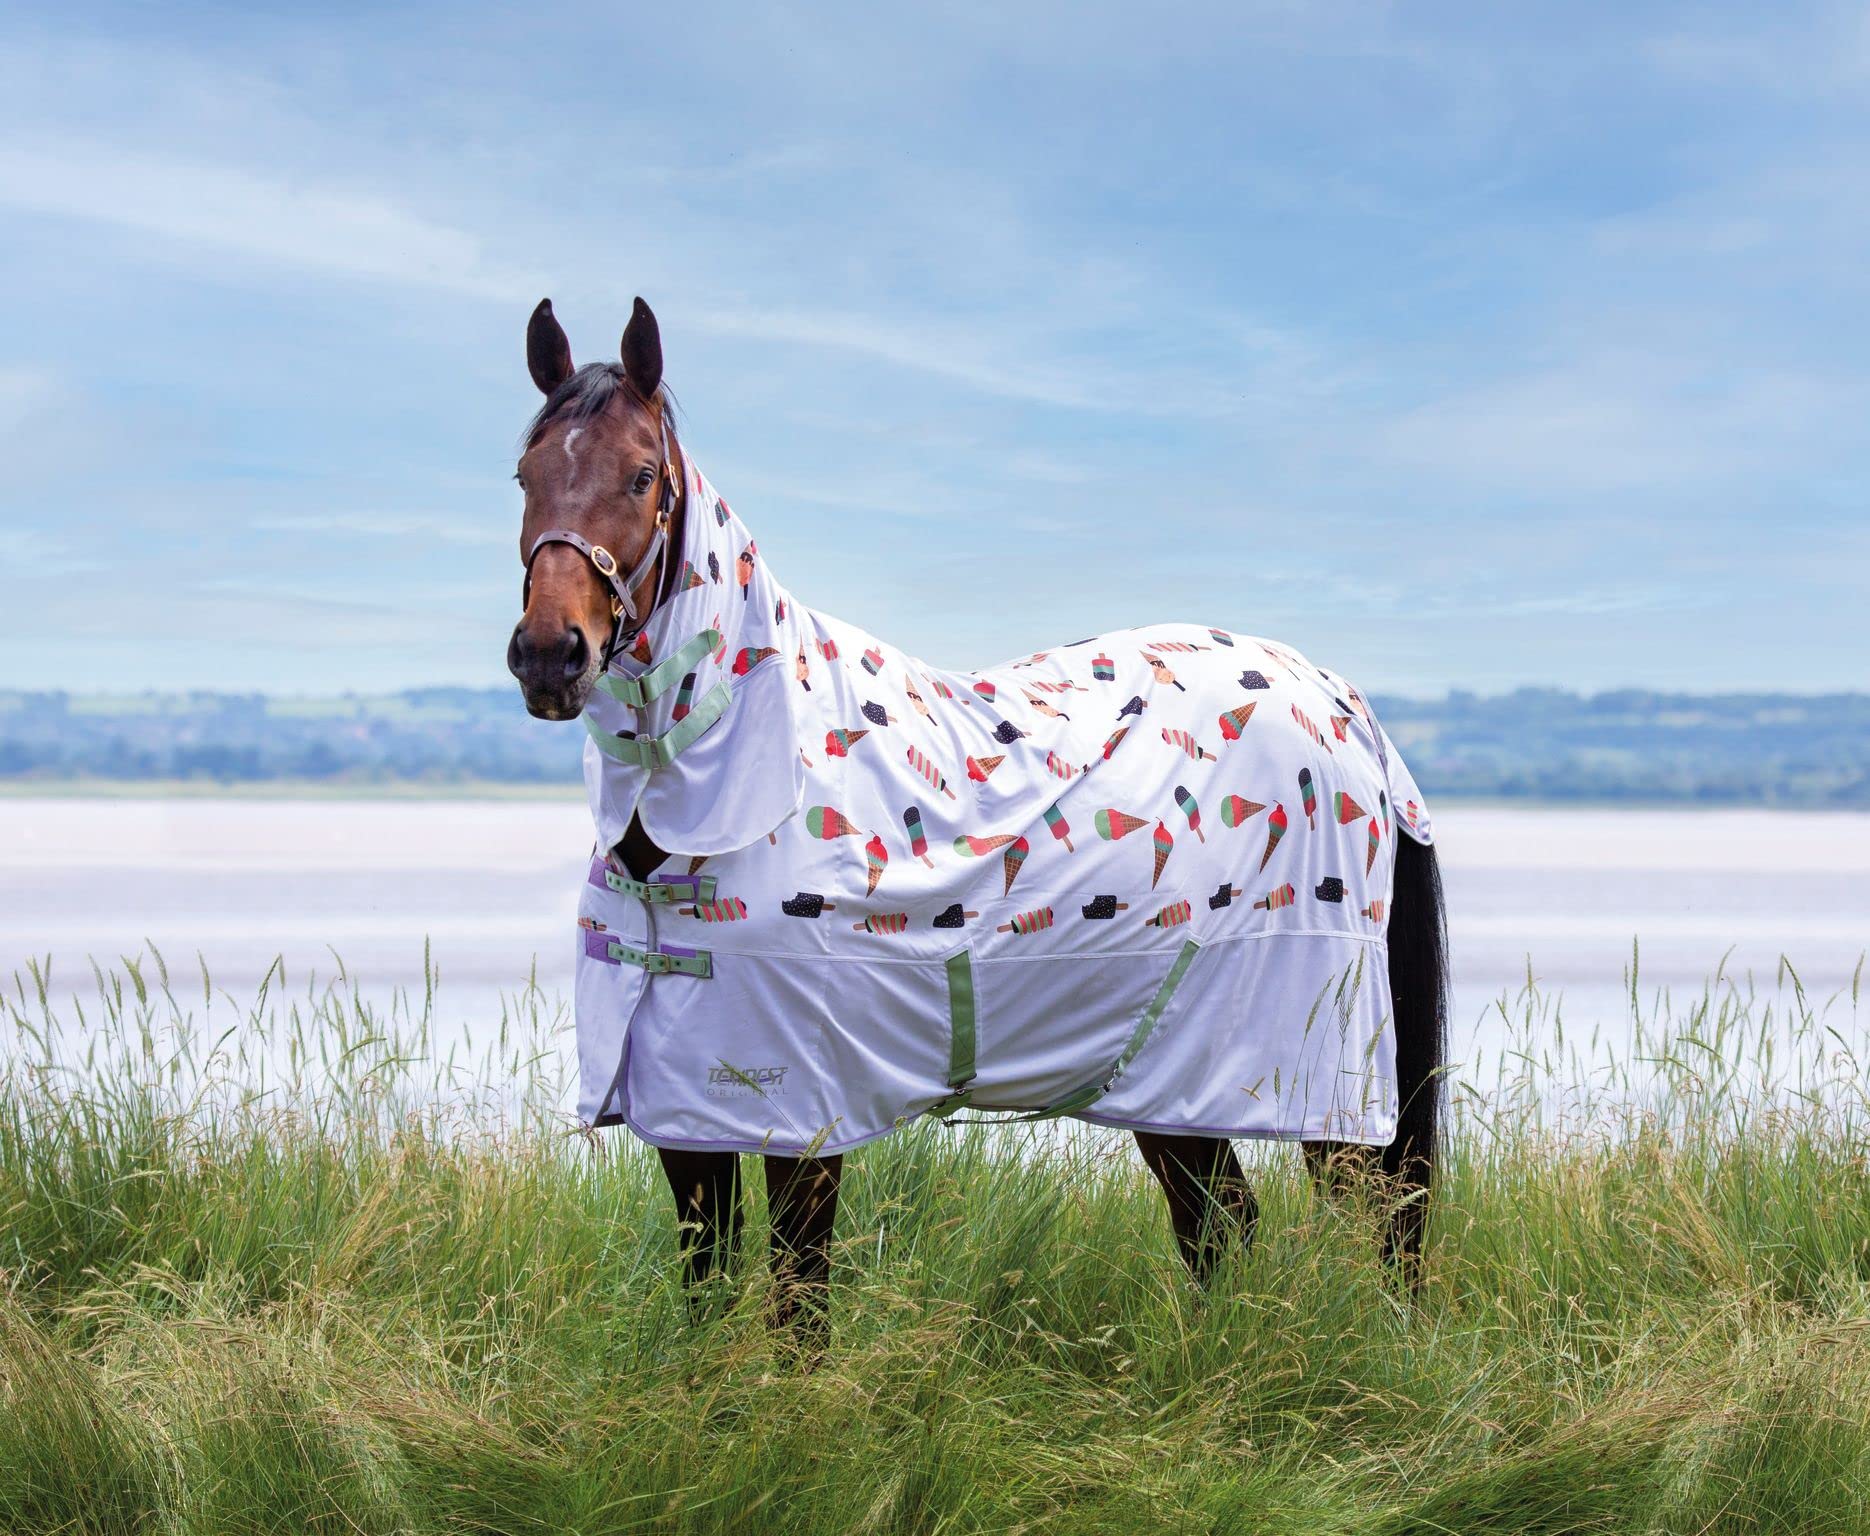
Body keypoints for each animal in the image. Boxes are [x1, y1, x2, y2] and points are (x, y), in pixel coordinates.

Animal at [508, 297, 1448, 1336]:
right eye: (526, 474)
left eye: (641, 476)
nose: (550, 655)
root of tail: (1342, 702)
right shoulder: (683, 1112)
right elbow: (707, 1285)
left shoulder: (802, 1113)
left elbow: (798, 1302)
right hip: (1176, 1085)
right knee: (1223, 1228)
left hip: (1324, 1087)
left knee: (1374, 1217)